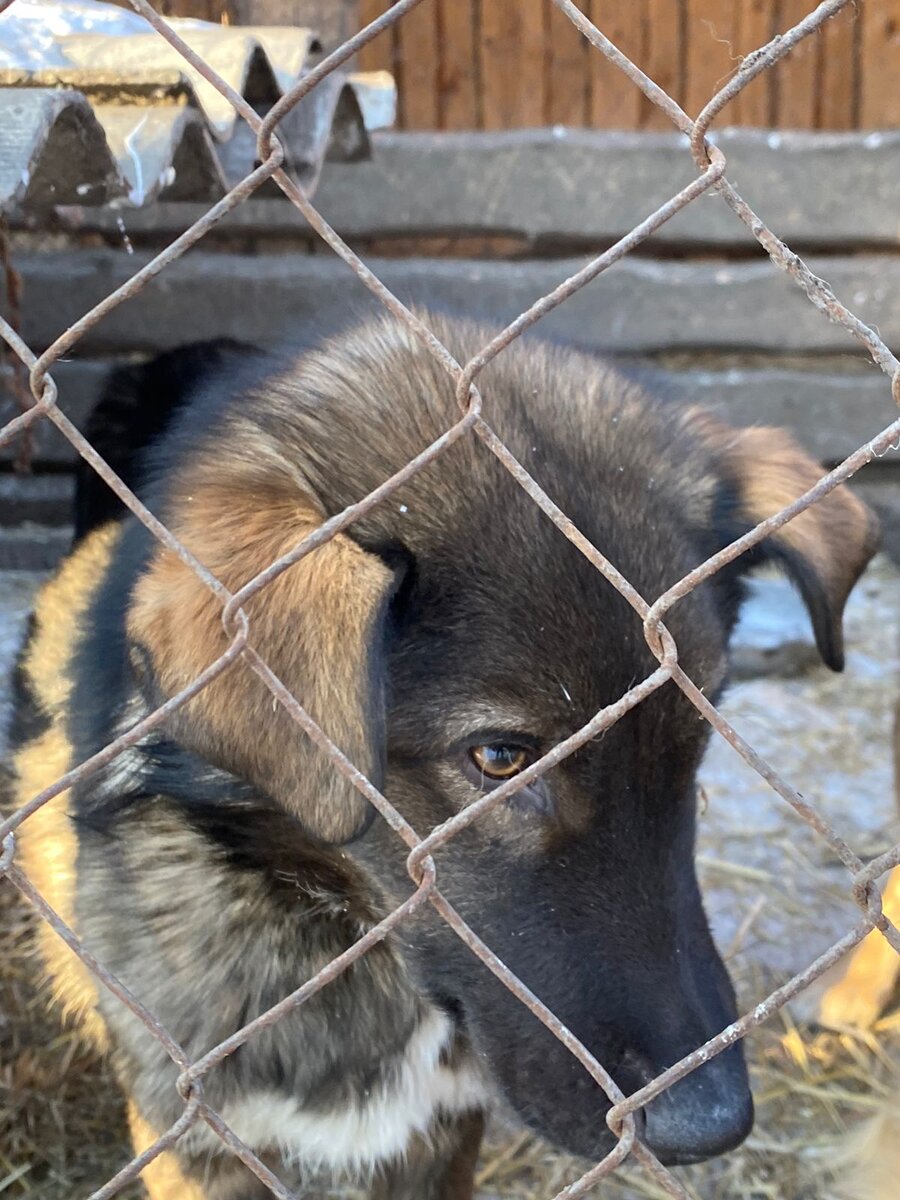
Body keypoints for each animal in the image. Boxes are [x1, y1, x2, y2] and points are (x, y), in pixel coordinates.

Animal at [8, 312, 883, 1200]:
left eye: (695, 737)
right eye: (499, 758)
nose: (714, 1123)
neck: (343, 934)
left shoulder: (445, 1132)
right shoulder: (197, 1138)